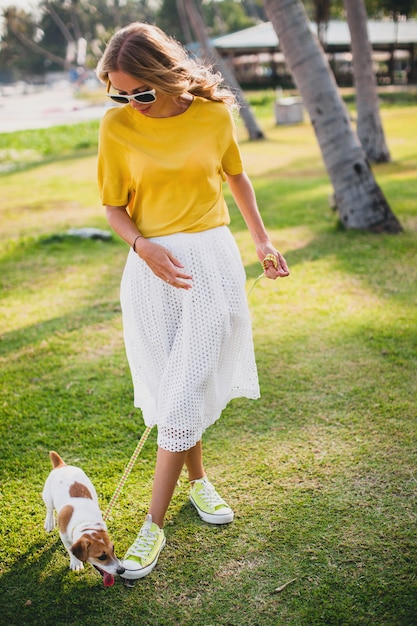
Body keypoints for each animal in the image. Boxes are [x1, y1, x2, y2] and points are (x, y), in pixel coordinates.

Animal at [42, 448, 124, 584]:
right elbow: (70, 549)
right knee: (49, 509)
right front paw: (76, 563)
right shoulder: (64, 536)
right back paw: (49, 523)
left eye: (113, 549)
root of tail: (62, 465)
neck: (84, 522)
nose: (122, 570)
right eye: (102, 557)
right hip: (47, 496)